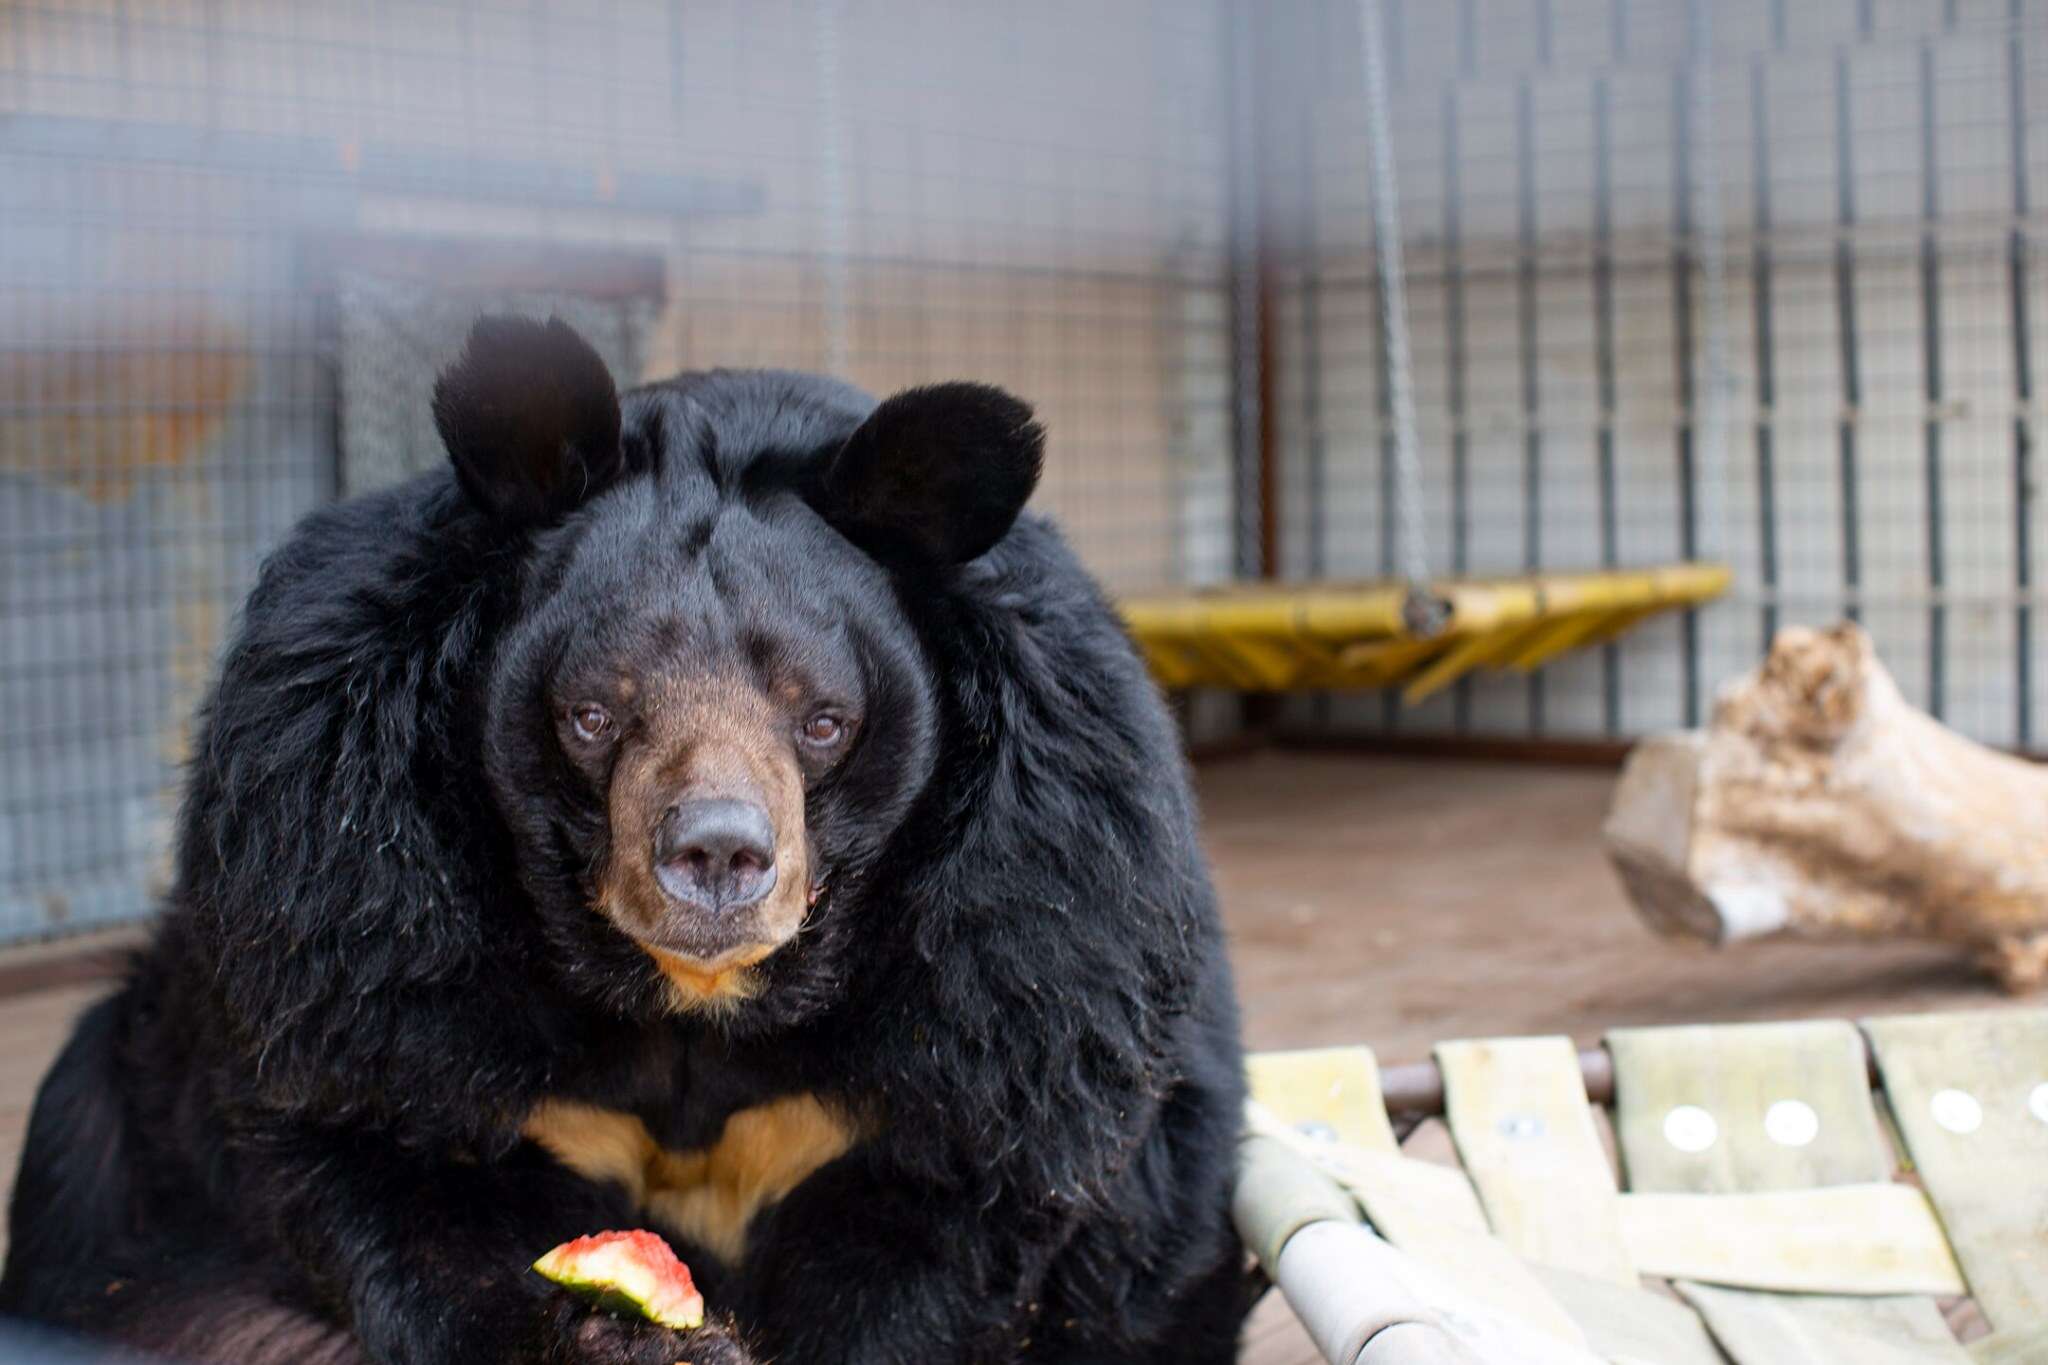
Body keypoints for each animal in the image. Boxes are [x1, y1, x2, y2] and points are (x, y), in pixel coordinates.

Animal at [0, 317, 1245, 1365]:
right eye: (592, 714)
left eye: (822, 720)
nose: (717, 857)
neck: (694, 1000)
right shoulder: (356, 911)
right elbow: (389, 1168)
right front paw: (625, 1338)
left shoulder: (1025, 953)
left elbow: (945, 1211)